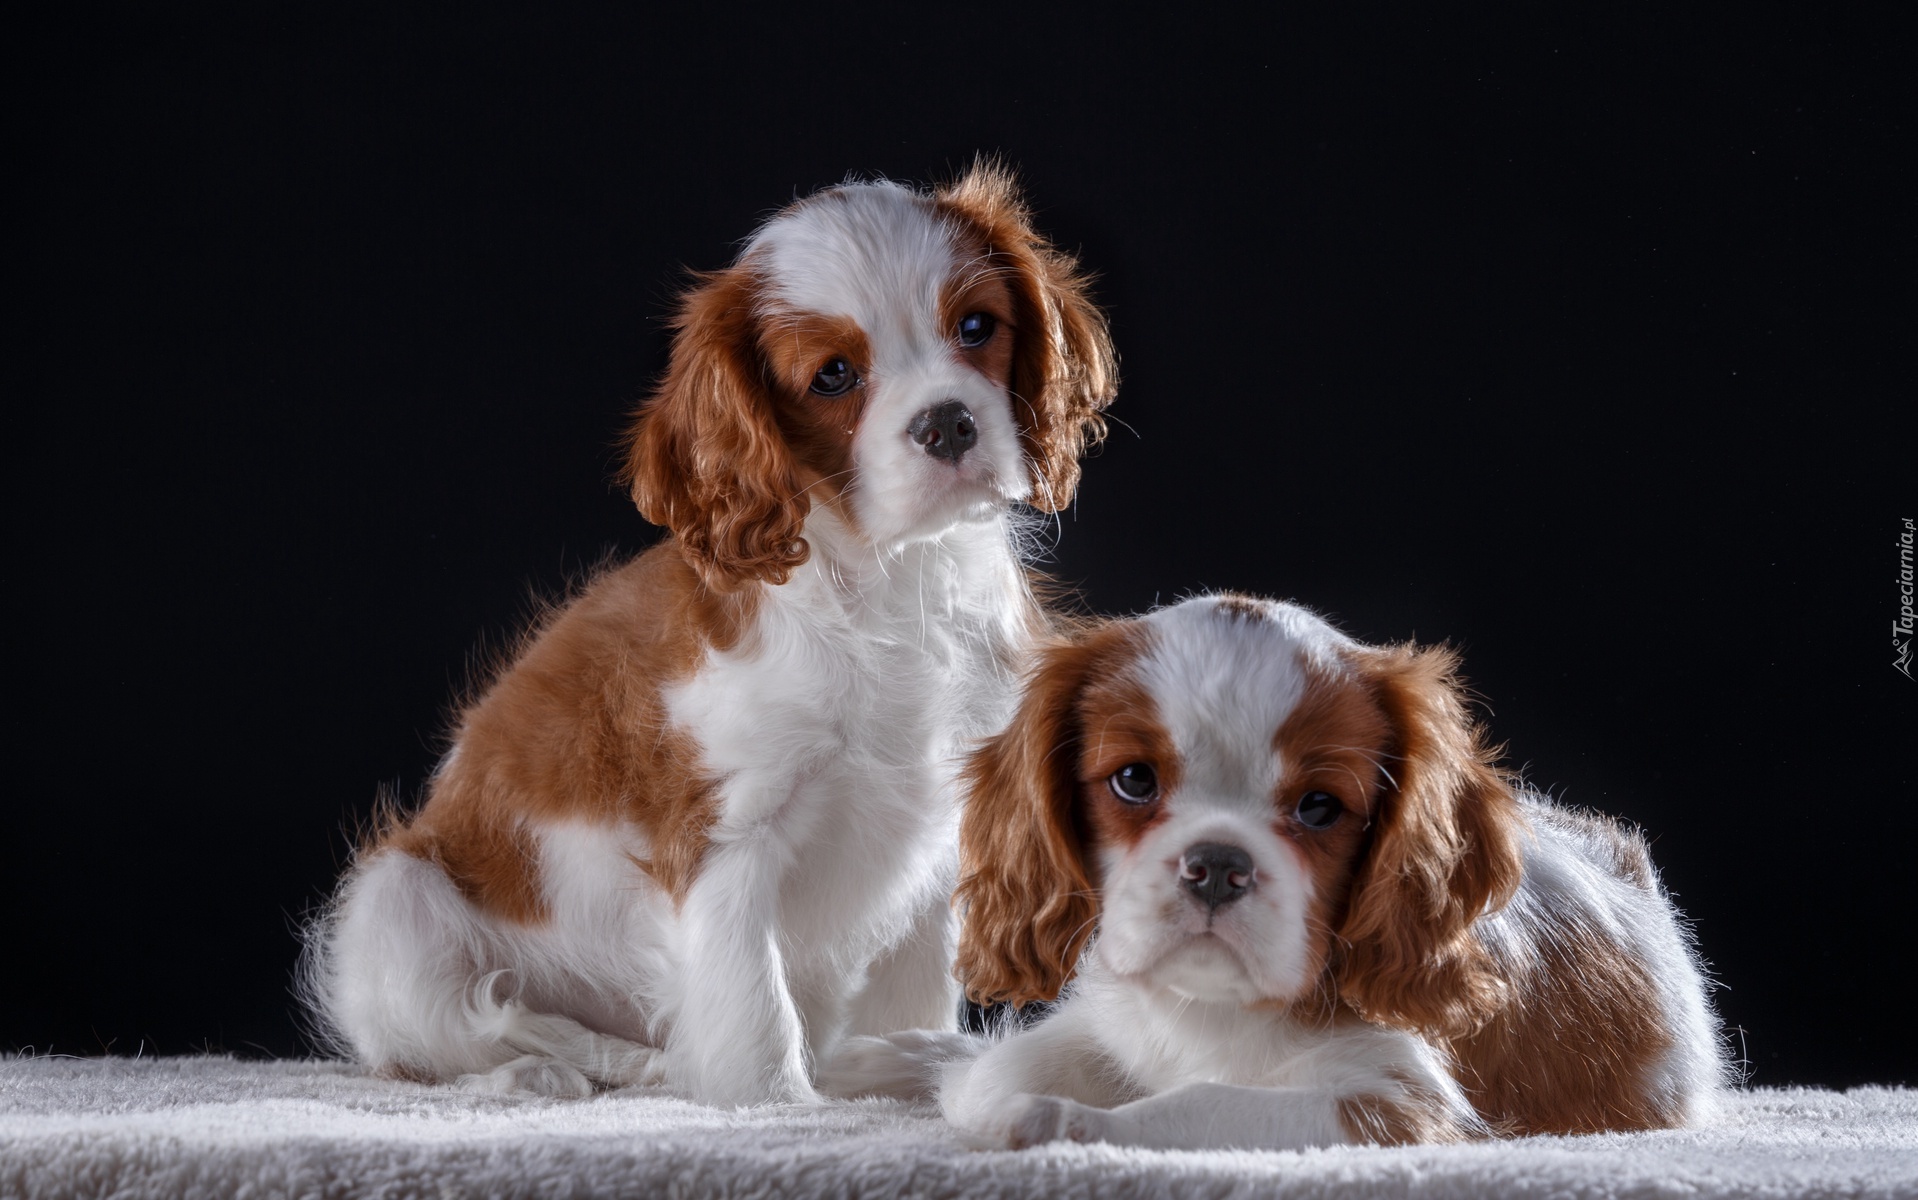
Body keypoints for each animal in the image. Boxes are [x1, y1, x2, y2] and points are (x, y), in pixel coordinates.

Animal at [928, 594, 1726, 1142]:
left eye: (1319, 807)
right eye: (1133, 780)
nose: (1218, 866)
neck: (1218, 1011)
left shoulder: (1392, 1102)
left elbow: (1203, 1101)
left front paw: (1070, 1124)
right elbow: (992, 1072)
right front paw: (998, 1098)